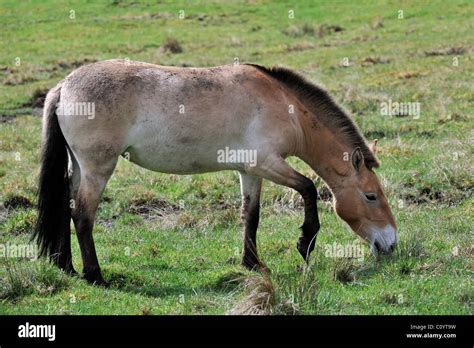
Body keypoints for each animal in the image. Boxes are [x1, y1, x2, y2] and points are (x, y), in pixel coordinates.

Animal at [32, 59, 396, 284]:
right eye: (371, 196)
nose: (391, 244)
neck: (285, 106)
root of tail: (63, 88)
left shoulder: (250, 171)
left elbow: (251, 215)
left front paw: (253, 264)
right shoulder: (267, 163)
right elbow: (307, 188)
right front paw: (305, 243)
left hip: (79, 168)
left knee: (65, 207)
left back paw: (67, 267)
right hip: (97, 169)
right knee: (83, 216)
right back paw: (95, 275)